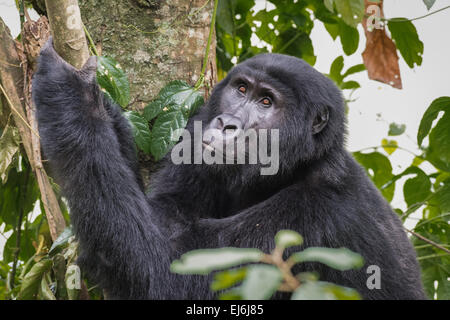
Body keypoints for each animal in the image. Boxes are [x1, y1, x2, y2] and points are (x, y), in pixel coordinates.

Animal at [32, 38, 426, 298]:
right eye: (240, 88)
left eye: (266, 102)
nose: (227, 123)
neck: (296, 168)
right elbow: (162, 215)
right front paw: (103, 106)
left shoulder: (310, 219)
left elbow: (160, 272)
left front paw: (73, 95)